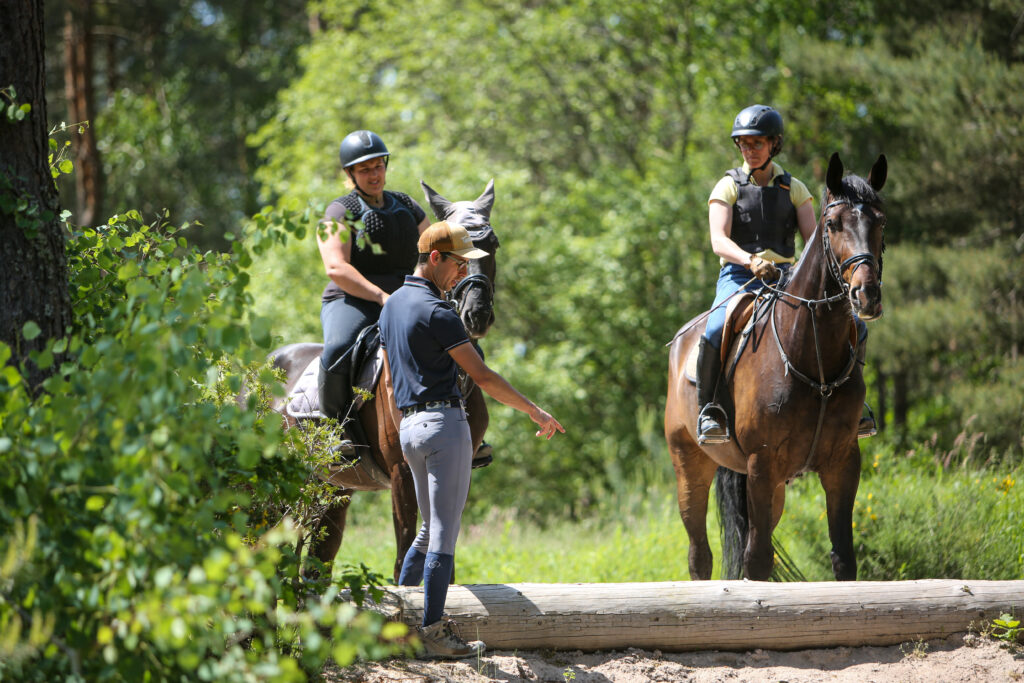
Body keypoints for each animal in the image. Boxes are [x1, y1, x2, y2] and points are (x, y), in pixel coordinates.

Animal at [268, 179, 499, 581]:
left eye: (494, 244)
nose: (477, 315)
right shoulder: (402, 472)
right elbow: (404, 552)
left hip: (334, 489)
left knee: (317, 562)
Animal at [667, 154, 884, 581]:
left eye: (881, 221)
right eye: (833, 224)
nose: (865, 295)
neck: (813, 359)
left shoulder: (842, 462)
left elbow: (843, 557)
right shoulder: (762, 465)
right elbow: (757, 560)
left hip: (776, 486)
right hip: (691, 467)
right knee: (700, 555)